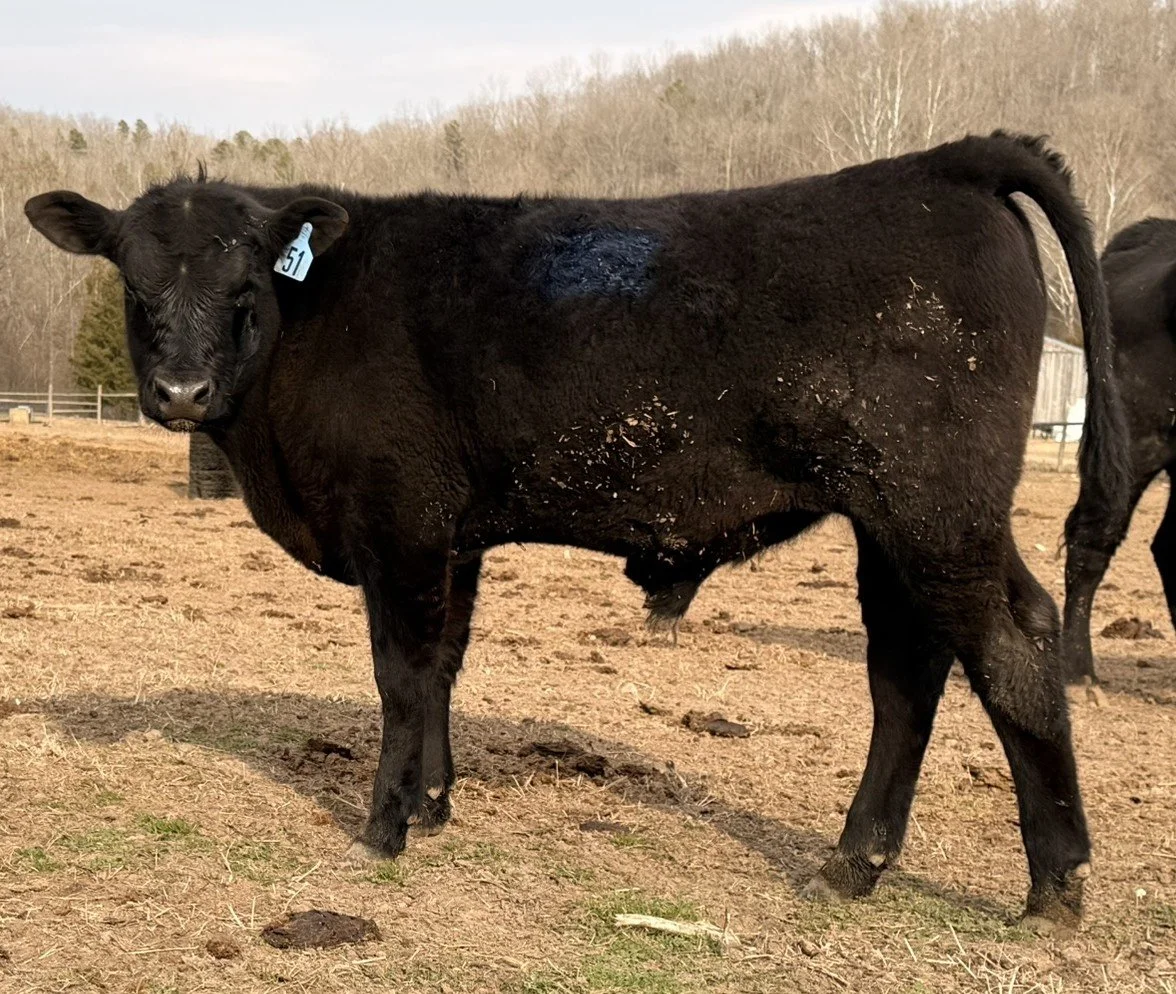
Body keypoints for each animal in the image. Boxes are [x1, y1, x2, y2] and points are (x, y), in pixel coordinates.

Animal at [25, 130, 1130, 931]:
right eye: (133, 282)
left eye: (246, 284)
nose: (179, 392)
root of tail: (945, 161)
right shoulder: (455, 536)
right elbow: (443, 667)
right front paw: (434, 801)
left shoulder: (401, 524)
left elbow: (399, 674)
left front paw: (383, 827)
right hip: (911, 523)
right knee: (919, 668)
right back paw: (855, 863)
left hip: (933, 510)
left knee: (1003, 652)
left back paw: (1054, 885)